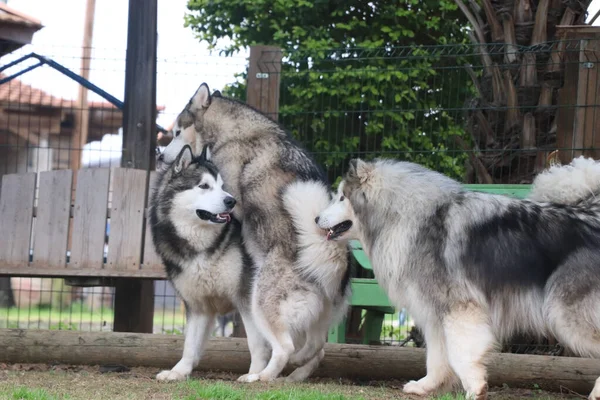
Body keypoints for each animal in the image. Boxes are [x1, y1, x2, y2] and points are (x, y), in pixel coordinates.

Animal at [149, 144, 258, 382]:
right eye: (204, 186)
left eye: (222, 186)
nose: (231, 201)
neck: (202, 248)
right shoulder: (197, 305)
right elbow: (190, 344)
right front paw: (179, 371)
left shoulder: (246, 298)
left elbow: (257, 343)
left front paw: (256, 372)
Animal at [316, 156, 600, 400]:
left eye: (341, 197)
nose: (316, 217)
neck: (402, 214)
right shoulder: (434, 315)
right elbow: (437, 358)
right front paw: (427, 386)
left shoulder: (460, 310)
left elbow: (461, 354)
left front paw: (475, 389)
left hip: (564, 315)